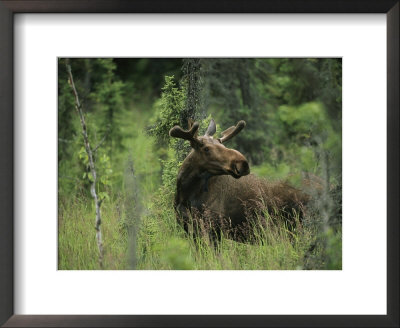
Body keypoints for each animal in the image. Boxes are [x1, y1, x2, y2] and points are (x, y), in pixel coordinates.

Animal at [169, 119, 310, 242]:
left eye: (222, 144)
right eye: (206, 149)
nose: (243, 164)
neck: (186, 194)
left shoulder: (215, 229)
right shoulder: (190, 229)